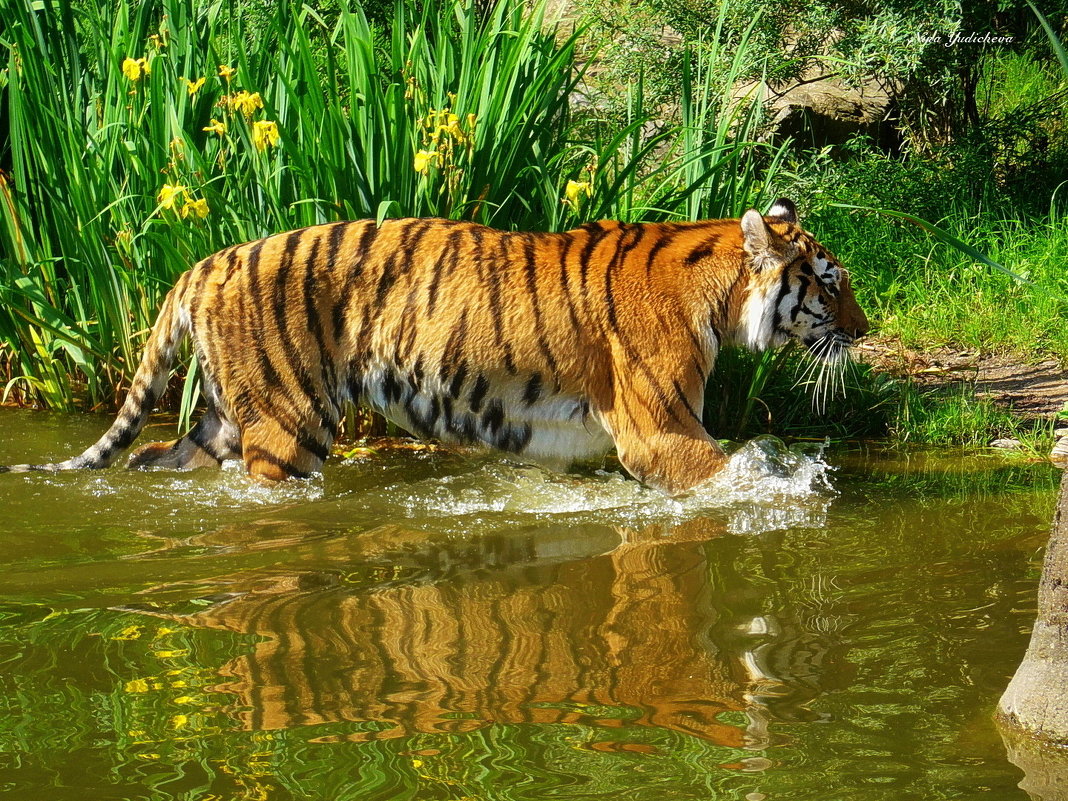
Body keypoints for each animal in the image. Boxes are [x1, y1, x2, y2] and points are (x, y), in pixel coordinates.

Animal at [2, 198, 868, 494]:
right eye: (830, 285)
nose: (865, 333)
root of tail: (207, 262)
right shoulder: (662, 430)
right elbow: (733, 476)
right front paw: (791, 492)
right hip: (286, 426)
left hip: (225, 416)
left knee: (155, 454)